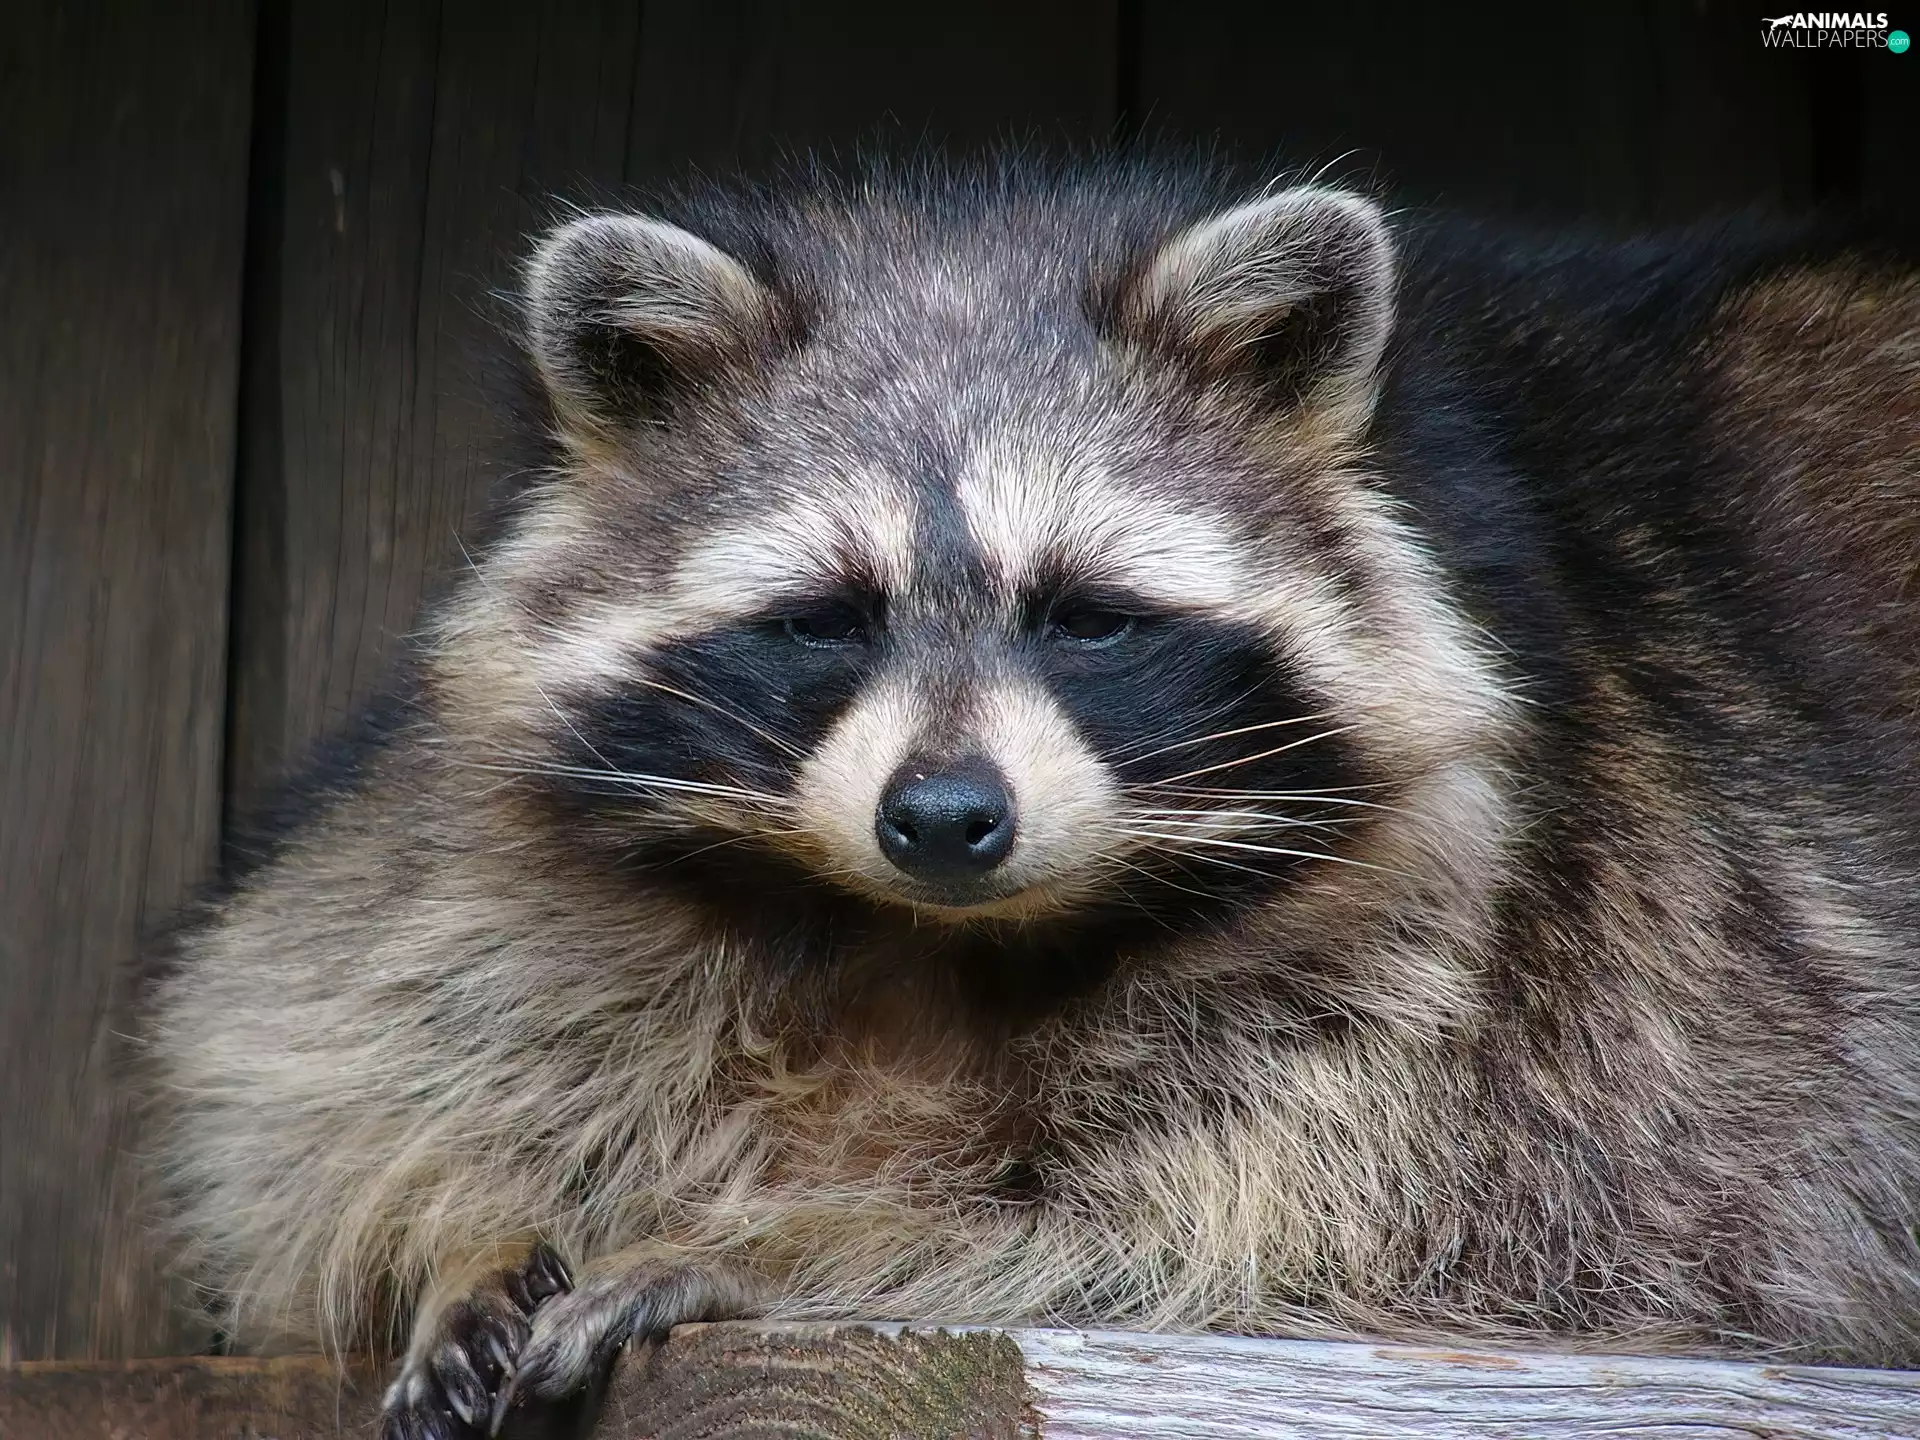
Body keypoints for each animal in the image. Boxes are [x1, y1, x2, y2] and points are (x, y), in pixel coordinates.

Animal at [140, 156, 1920, 1438]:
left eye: (1086, 616)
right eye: (827, 618)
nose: (943, 818)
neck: (921, 944)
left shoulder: (1593, 963)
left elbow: (1334, 1231)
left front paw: (797, 1247)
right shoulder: (449, 855)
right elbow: (319, 1053)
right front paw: (469, 1218)